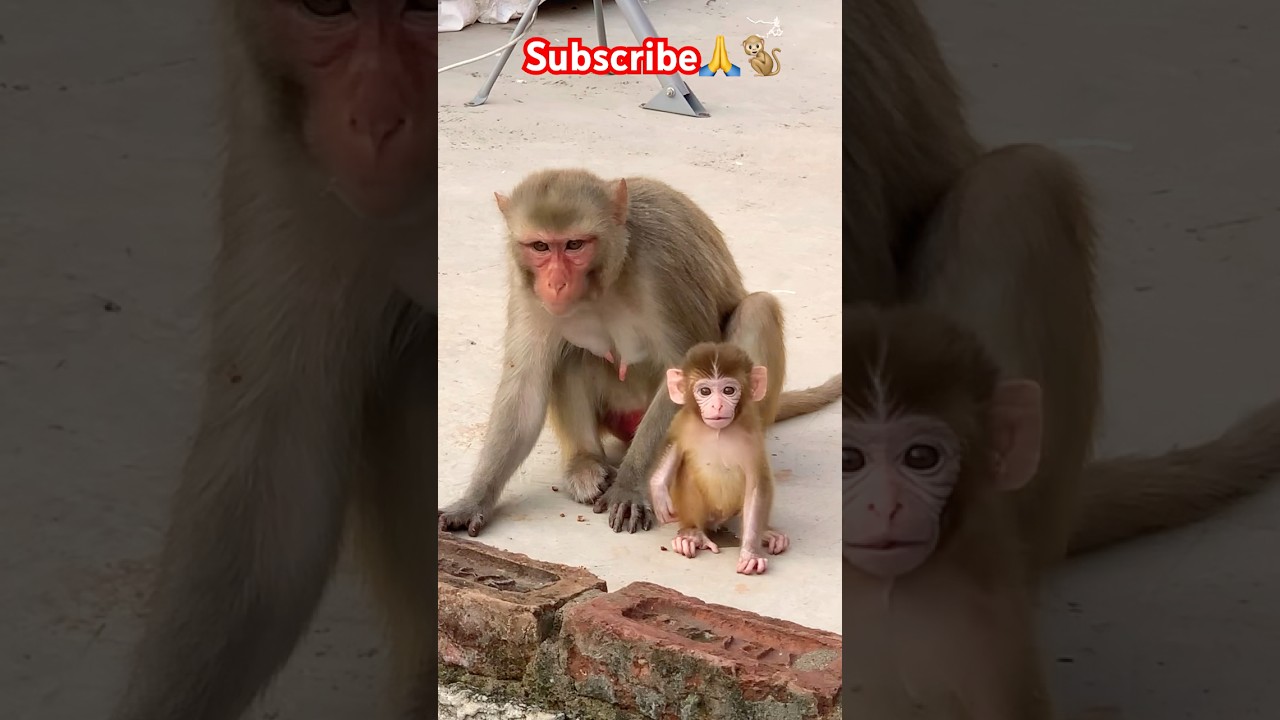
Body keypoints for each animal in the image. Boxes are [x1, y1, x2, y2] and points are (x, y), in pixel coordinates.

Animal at [437, 168, 842, 537]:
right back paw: (586, 463)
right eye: (540, 246)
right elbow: (525, 387)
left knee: (757, 309)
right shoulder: (526, 287)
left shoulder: (661, 268)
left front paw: (630, 487)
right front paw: (473, 500)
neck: (608, 278)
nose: (555, 283)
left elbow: (687, 371)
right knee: (568, 353)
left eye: (574, 245)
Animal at [648, 342, 790, 576]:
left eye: (728, 390)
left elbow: (756, 485)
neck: (718, 432)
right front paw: (658, 491)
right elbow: (673, 451)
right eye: (705, 391)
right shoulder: (682, 422)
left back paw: (766, 533)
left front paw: (750, 553)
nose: (717, 406)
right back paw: (691, 534)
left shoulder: (752, 435)